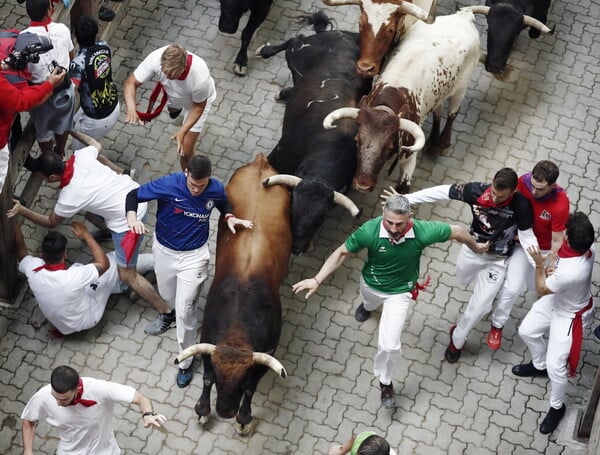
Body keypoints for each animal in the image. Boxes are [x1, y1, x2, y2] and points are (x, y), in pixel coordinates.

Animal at [258, 25, 370, 255]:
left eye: (320, 218)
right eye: (292, 208)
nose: (297, 247)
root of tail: (343, 34)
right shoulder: (279, 155)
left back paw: (285, 92)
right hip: (298, 53)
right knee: (294, 40)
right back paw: (265, 51)